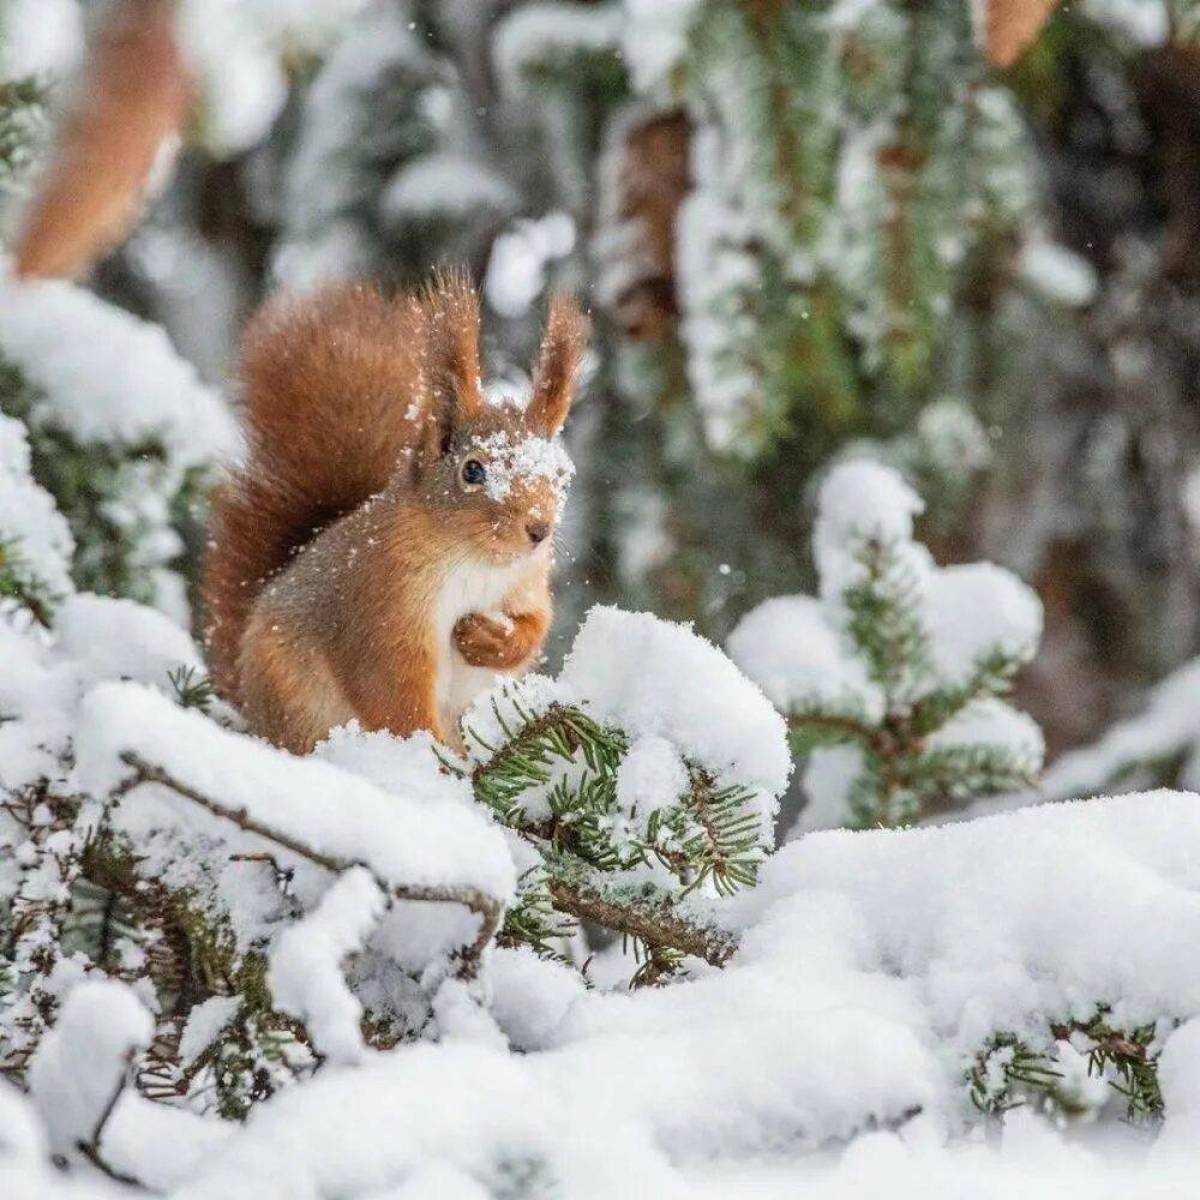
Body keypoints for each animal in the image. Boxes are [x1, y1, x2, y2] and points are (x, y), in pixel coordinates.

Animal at [204, 276, 588, 753]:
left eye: (562, 474)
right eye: (472, 470)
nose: (538, 529)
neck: (474, 562)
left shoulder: (527, 584)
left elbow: (535, 625)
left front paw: (487, 638)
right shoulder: (384, 608)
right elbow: (392, 694)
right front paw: (429, 756)